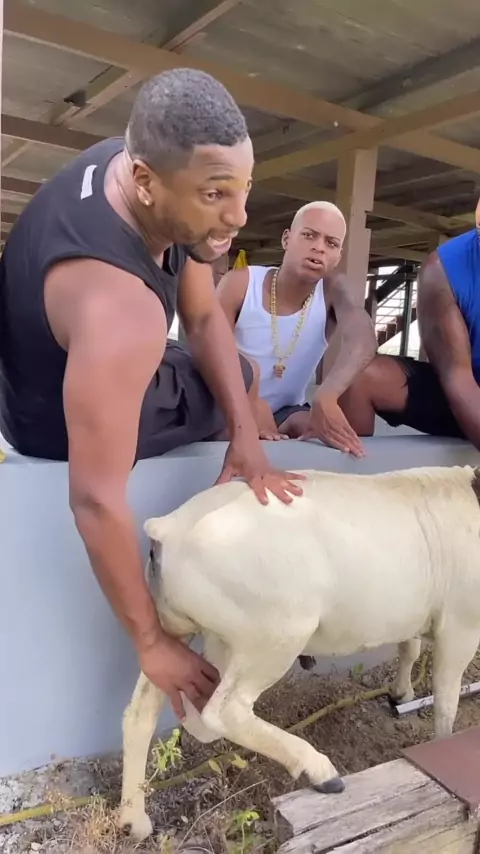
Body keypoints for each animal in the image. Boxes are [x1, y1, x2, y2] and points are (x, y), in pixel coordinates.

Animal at [118, 465, 480, 841]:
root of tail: (170, 528)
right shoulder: (462, 624)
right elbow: (446, 697)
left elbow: (410, 646)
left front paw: (401, 693)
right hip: (276, 632)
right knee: (222, 710)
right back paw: (320, 772)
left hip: (172, 628)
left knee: (142, 711)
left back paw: (133, 821)